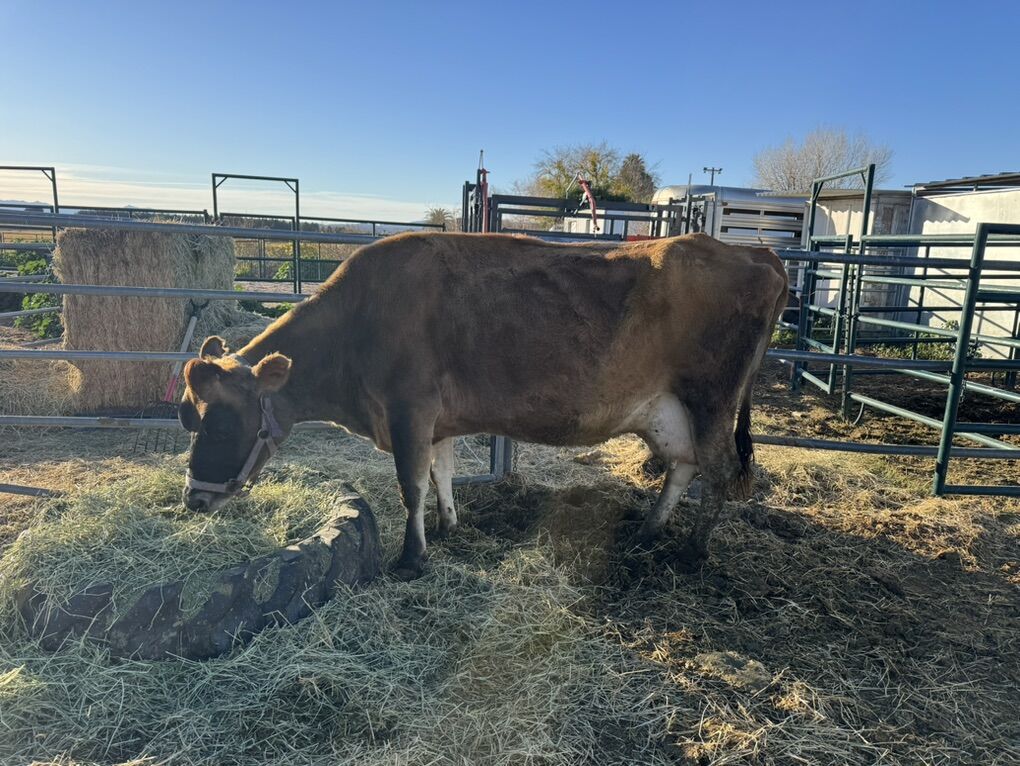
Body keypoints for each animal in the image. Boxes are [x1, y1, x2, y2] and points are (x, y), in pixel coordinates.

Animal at [179, 232, 788, 579]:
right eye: (190, 416)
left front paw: (411, 558)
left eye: (221, 423)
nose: (194, 500)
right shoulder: (436, 420)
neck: (356, 324)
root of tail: (754, 252)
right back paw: (649, 530)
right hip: (668, 409)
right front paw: (448, 526)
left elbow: (410, 485)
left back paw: (693, 551)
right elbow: (441, 473)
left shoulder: (409, 409)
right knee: (685, 465)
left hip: (710, 399)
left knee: (722, 470)